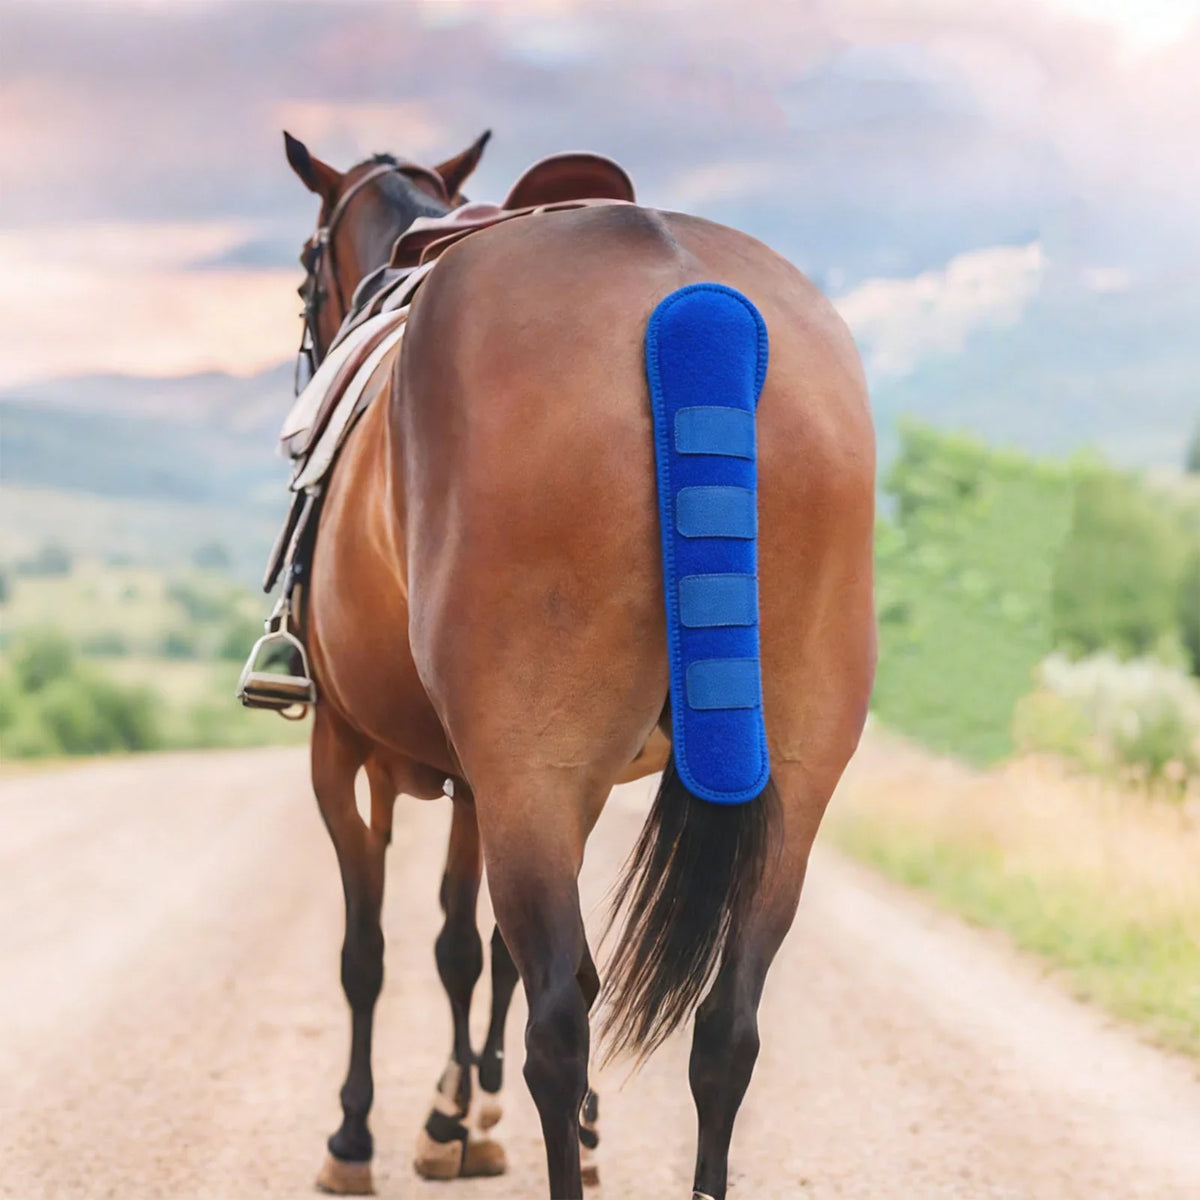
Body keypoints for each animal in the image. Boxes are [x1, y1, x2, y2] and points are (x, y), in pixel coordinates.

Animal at [281, 130, 876, 1200]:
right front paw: (460, 1111)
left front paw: (363, 1134)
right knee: (726, 1025)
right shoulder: (487, 780)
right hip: (791, 777)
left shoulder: (349, 753)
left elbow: (376, 952)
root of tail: (692, 302)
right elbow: (464, 945)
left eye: (308, 269)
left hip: (532, 767)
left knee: (560, 1016)